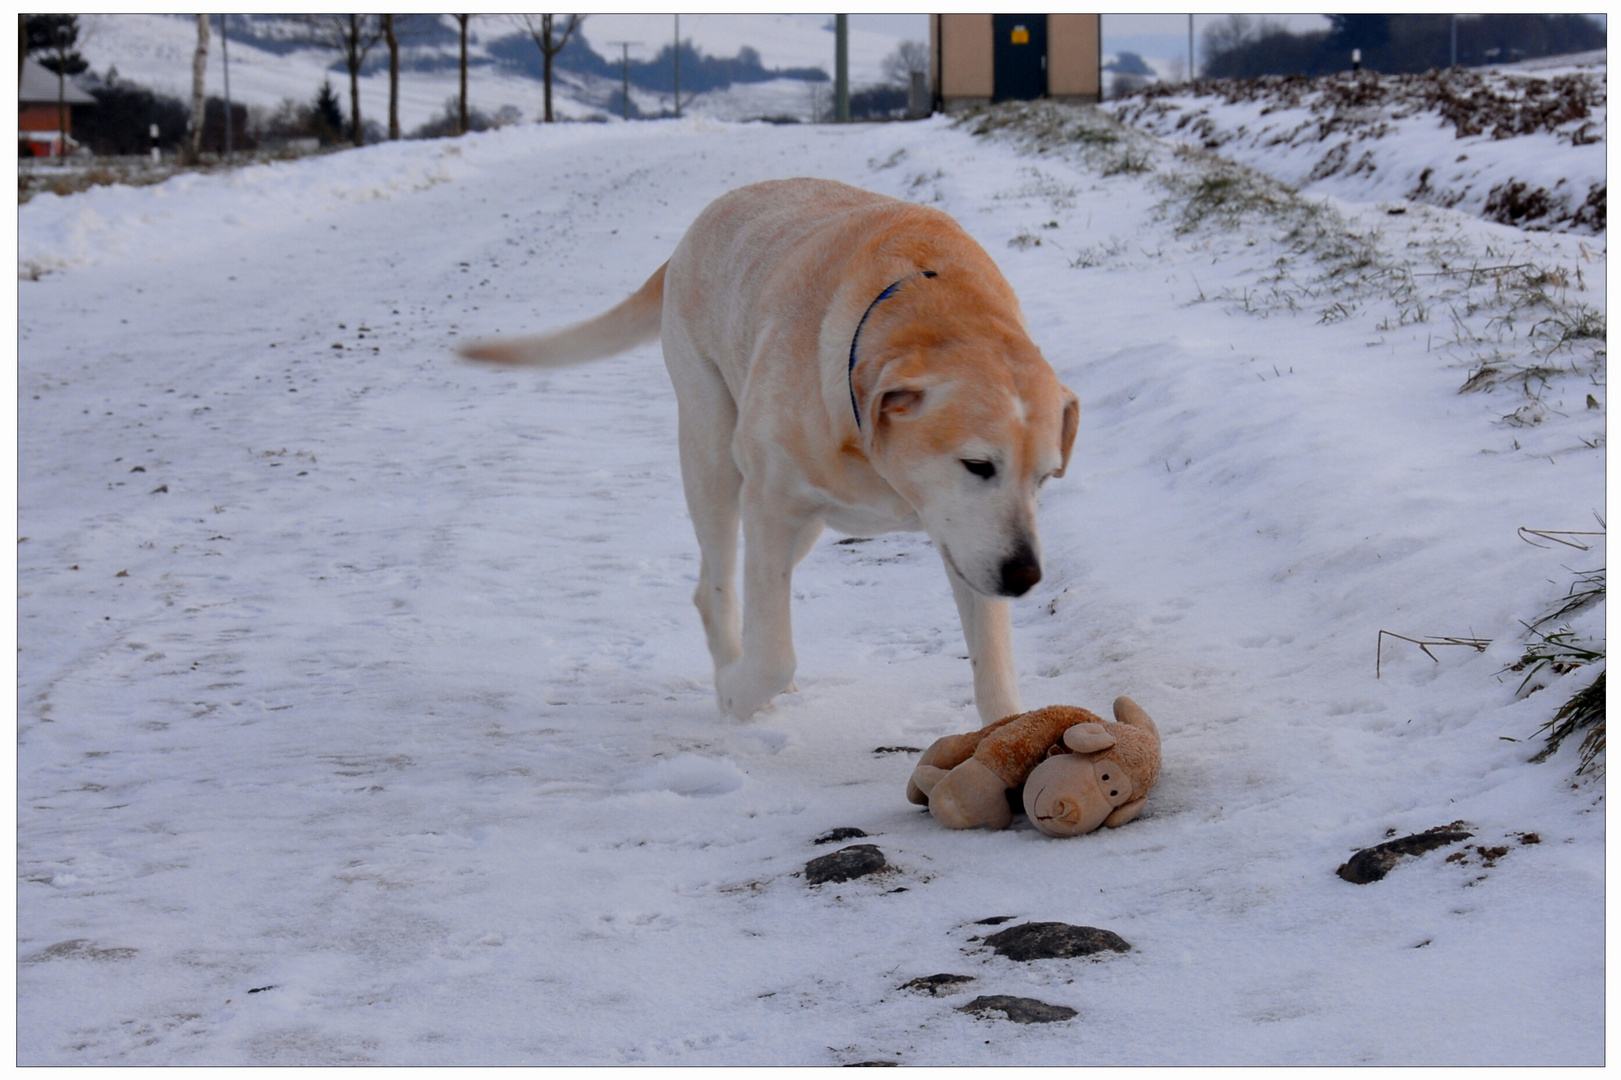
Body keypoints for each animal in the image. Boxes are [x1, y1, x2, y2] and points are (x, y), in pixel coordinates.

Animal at [463, 176, 1076, 720]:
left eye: (1045, 478)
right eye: (977, 465)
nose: (1025, 576)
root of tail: (700, 224)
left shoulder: (966, 541)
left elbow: (992, 664)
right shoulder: (770, 503)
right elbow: (775, 654)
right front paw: (737, 694)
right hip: (712, 454)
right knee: (717, 587)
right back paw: (731, 675)